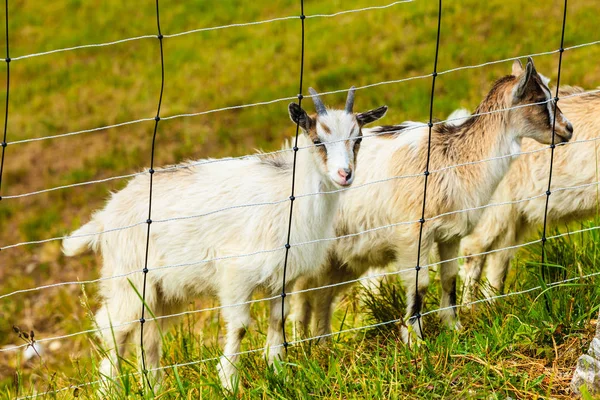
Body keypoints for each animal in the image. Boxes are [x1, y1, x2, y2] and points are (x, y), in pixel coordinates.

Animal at [62, 88, 390, 390]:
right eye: (318, 140)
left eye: (357, 140)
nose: (345, 174)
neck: (289, 193)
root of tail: (106, 214)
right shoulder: (236, 275)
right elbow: (241, 327)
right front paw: (229, 382)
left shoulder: (281, 278)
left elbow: (278, 320)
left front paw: (278, 372)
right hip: (127, 280)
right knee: (114, 329)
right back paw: (110, 389)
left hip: (162, 291)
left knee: (149, 336)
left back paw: (155, 388)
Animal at [292, 57, 576, 342]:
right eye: (538, 100)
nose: (568, 129)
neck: (453, 159)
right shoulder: (412, 235)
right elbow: (420, 284)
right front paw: (416, 340)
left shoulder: (450, 235)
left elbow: (449, 277)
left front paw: (454, 328)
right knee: (300, 294)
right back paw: (297, 347)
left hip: (338, 258)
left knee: (321, 296)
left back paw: (322, 344)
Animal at [460, 85, 596, 304]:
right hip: (495, 207)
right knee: (474, 251)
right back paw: (467, 310)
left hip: (515, 213)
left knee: (500, 255)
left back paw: (493, 305)